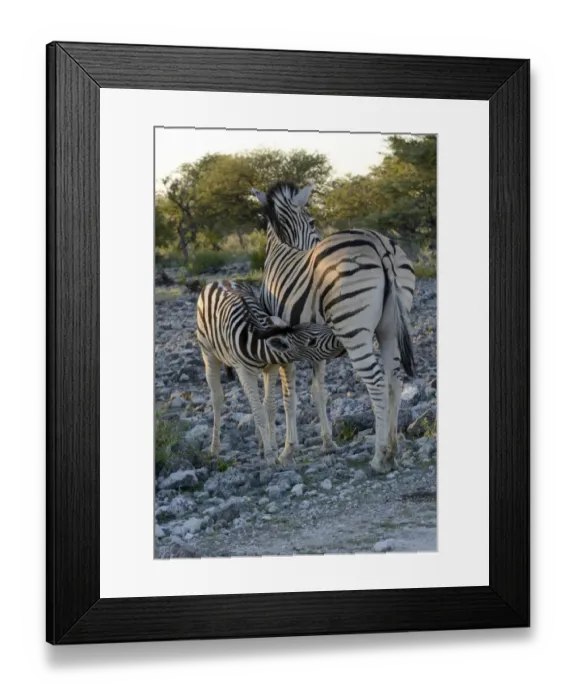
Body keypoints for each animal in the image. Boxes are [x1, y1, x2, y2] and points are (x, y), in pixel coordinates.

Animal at [196, 280, 343, 466]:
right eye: (312, 342)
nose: (340, 340)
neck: (256, 344)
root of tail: (218, 281)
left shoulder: (271, 368)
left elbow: (270, 407)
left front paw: (271, 447)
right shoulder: (243, 371)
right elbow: (259, 412)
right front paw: (269, 454)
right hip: (208, 353)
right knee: (217, 398)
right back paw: (214, 448)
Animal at [251, 181, 417, 474]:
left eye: (312, 221)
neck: (282, 247)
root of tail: (378, 243)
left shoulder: (284, 345)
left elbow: (289, 397)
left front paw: (287, 450)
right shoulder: (313, 345)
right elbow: (319, 392)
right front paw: (328, 442)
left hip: (353, 328)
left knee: (376, 381)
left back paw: (379, 456)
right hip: (391, 326)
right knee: (394, 378)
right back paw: (393, 449)